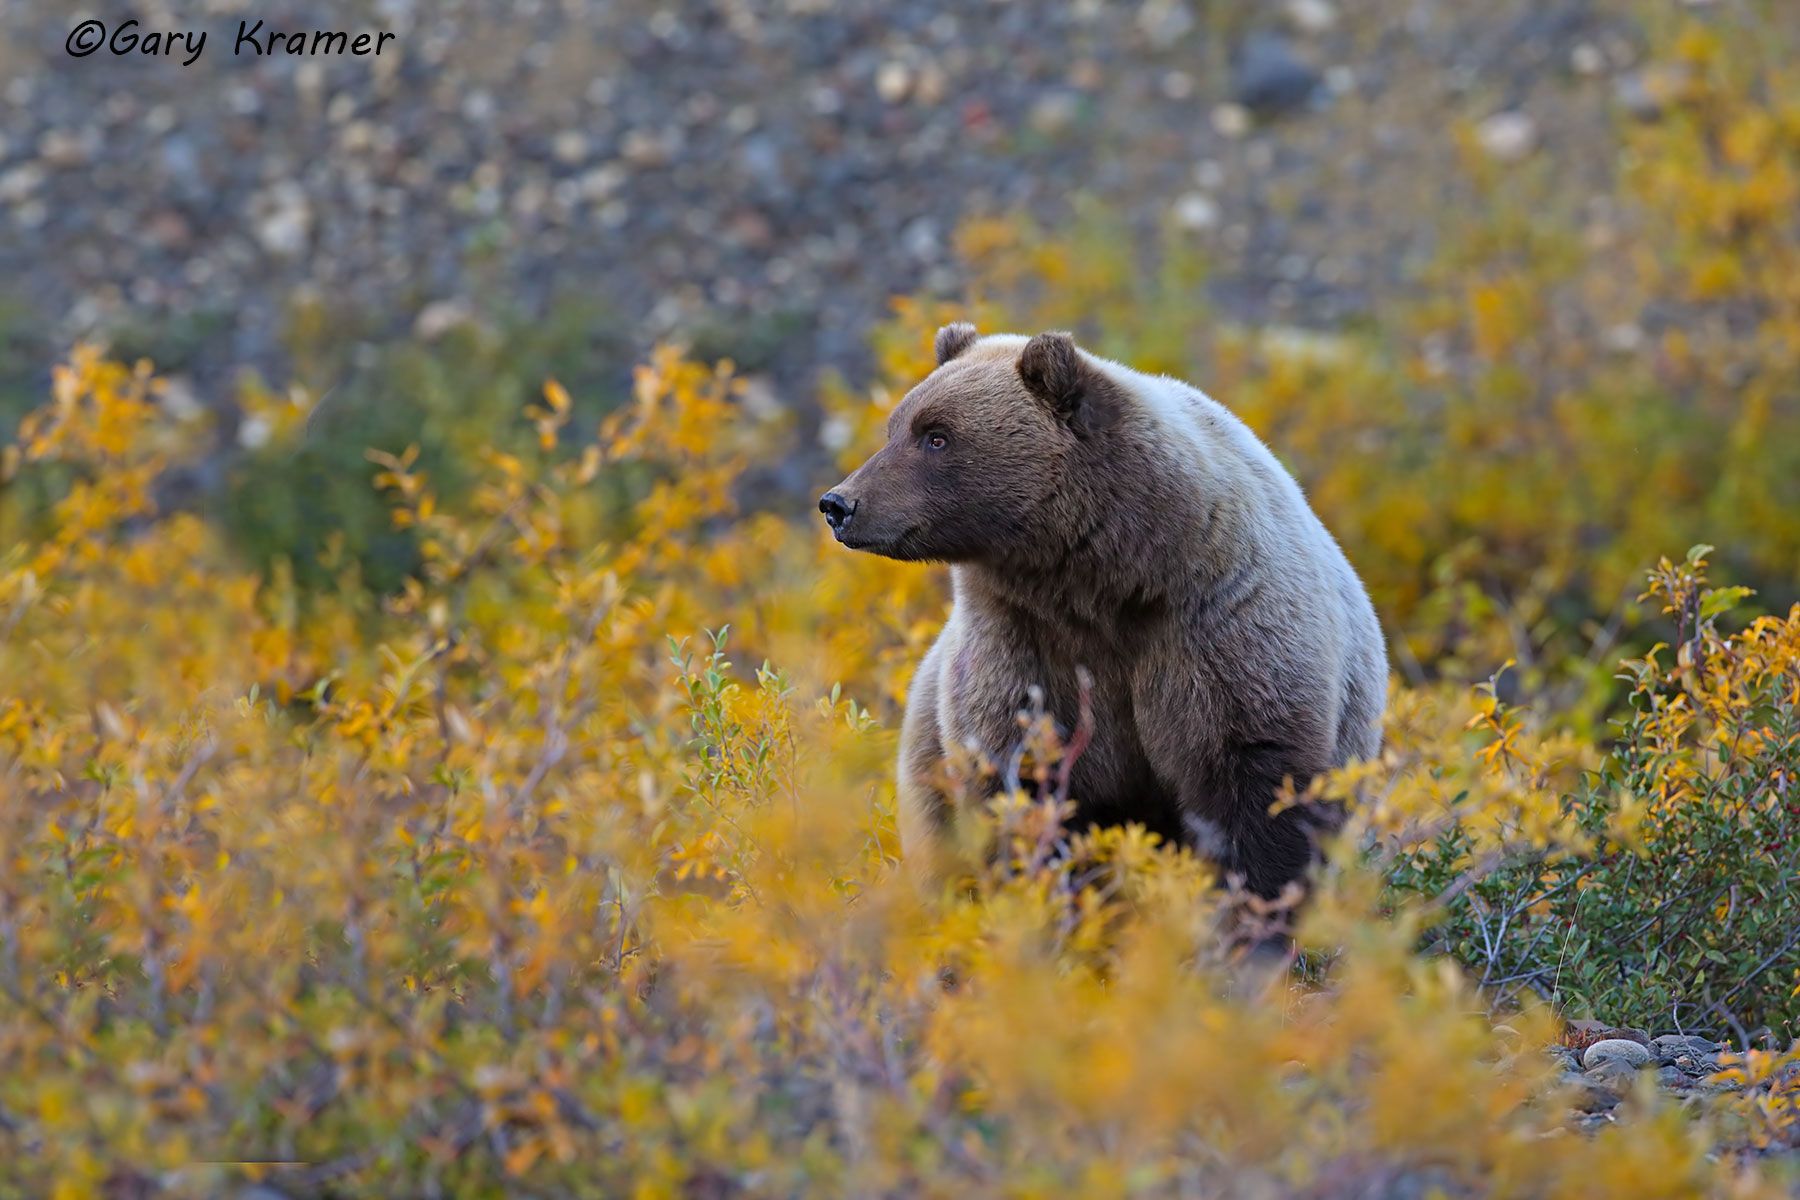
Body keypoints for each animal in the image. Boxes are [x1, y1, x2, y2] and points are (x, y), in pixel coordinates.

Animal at [818, 324, 1387, 898]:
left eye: (936, 435)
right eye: (895, 427)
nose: (839, 504)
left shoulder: (1220, 624)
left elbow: (1257, 789)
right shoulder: (1019, 639)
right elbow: (1018, 781)